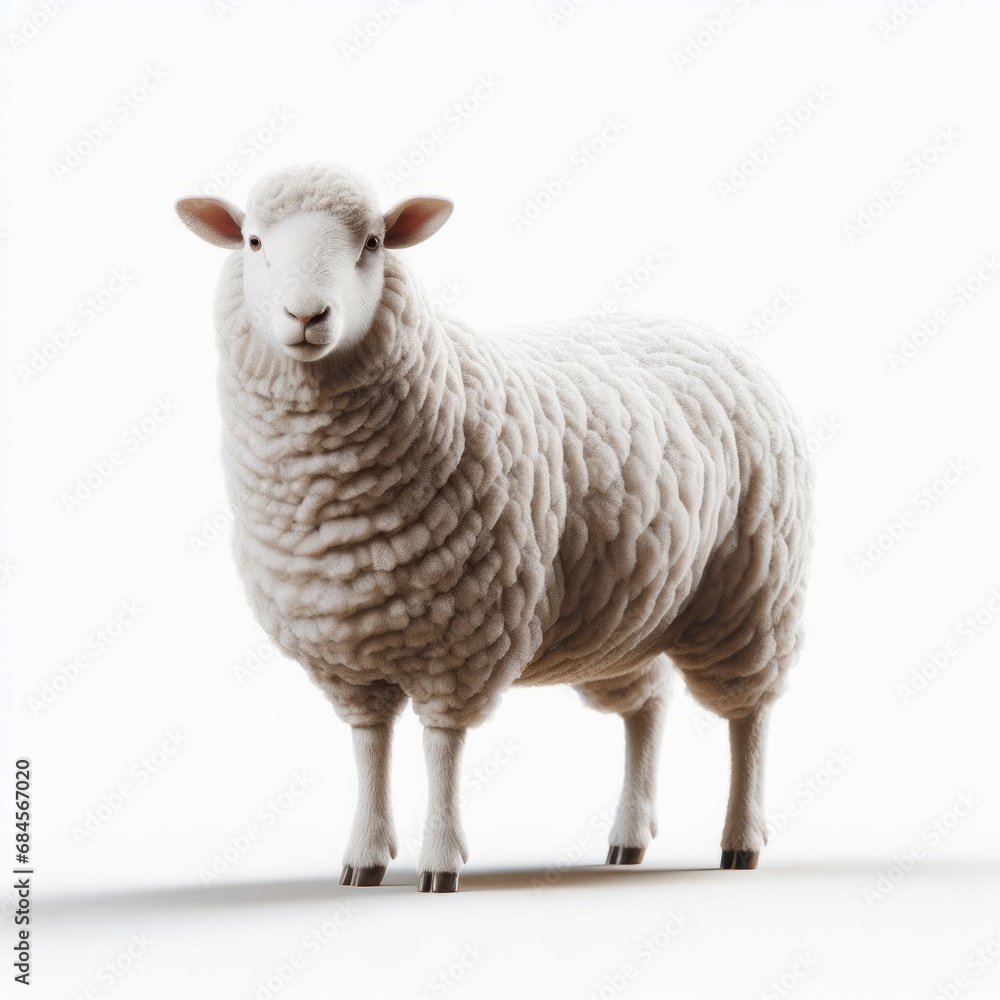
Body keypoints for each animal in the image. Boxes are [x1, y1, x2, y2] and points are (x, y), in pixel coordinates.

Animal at [175, 163, 813, 892]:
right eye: (253, 241)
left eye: (374, 242)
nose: (307, 317)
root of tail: (705, 333)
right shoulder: (349, 647)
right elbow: (370, 746)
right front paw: (364, 855)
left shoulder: (462, 637)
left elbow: (442, 749)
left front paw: (440, 861)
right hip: (630, 613)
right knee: (647, 711)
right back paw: (629, 837)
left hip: (752, 592)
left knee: (749, 720)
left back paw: (740, 841)